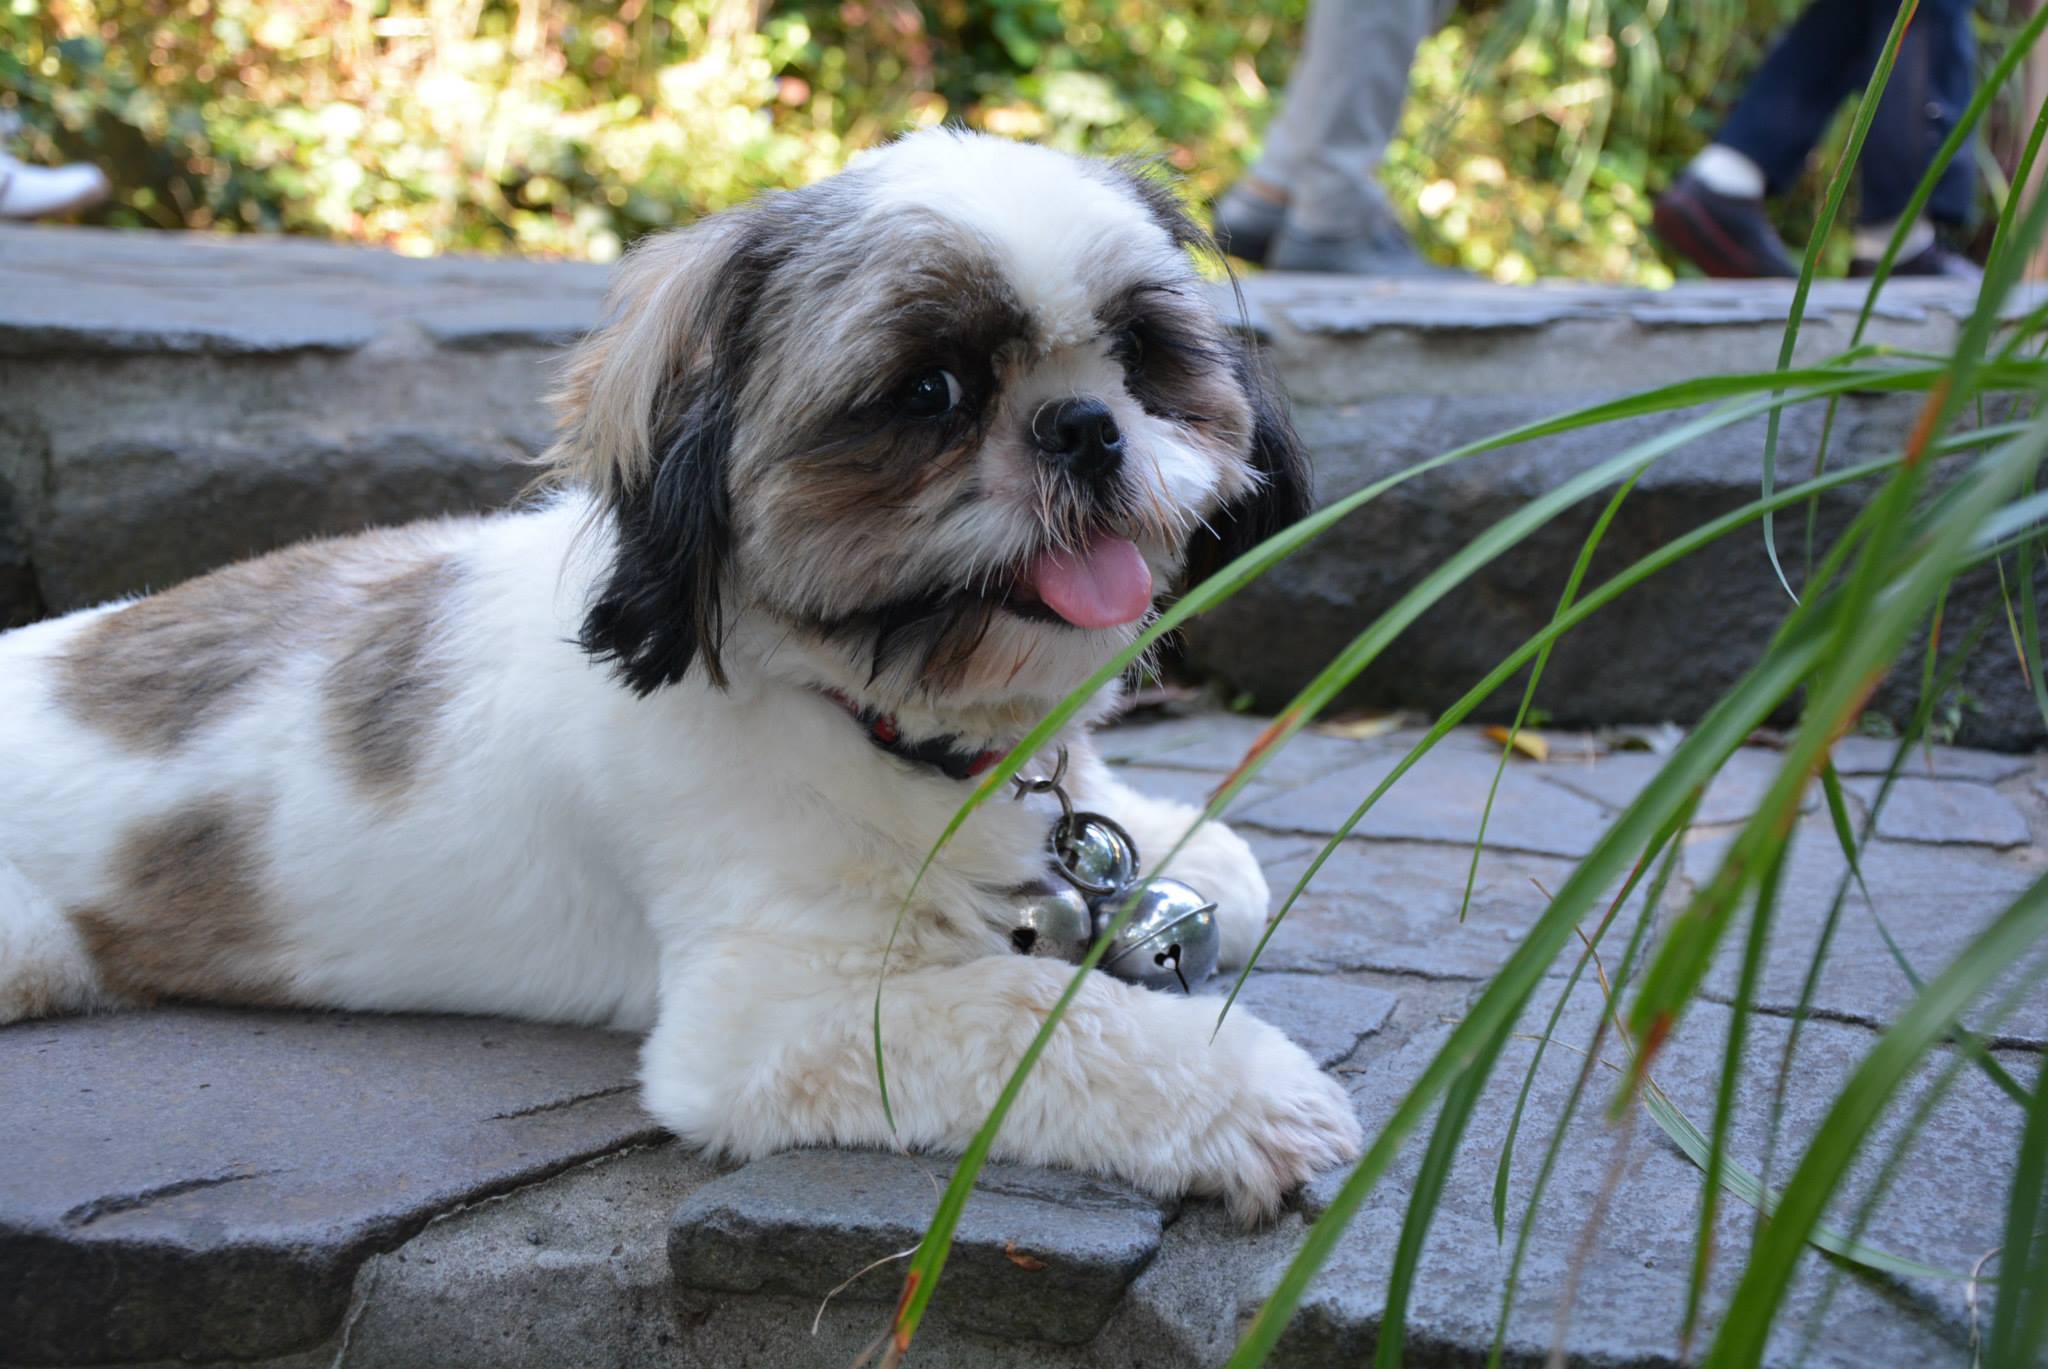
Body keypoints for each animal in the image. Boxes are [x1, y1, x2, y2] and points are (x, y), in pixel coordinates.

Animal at [0, 131, 1359, 1221]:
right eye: (931, 390)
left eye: (1138, 352)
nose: (1085, 426)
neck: (866, 715)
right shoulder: (775, 1013)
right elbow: (1029, 1016)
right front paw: (1245, 1094)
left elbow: (1181, 864)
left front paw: (1176, 846)